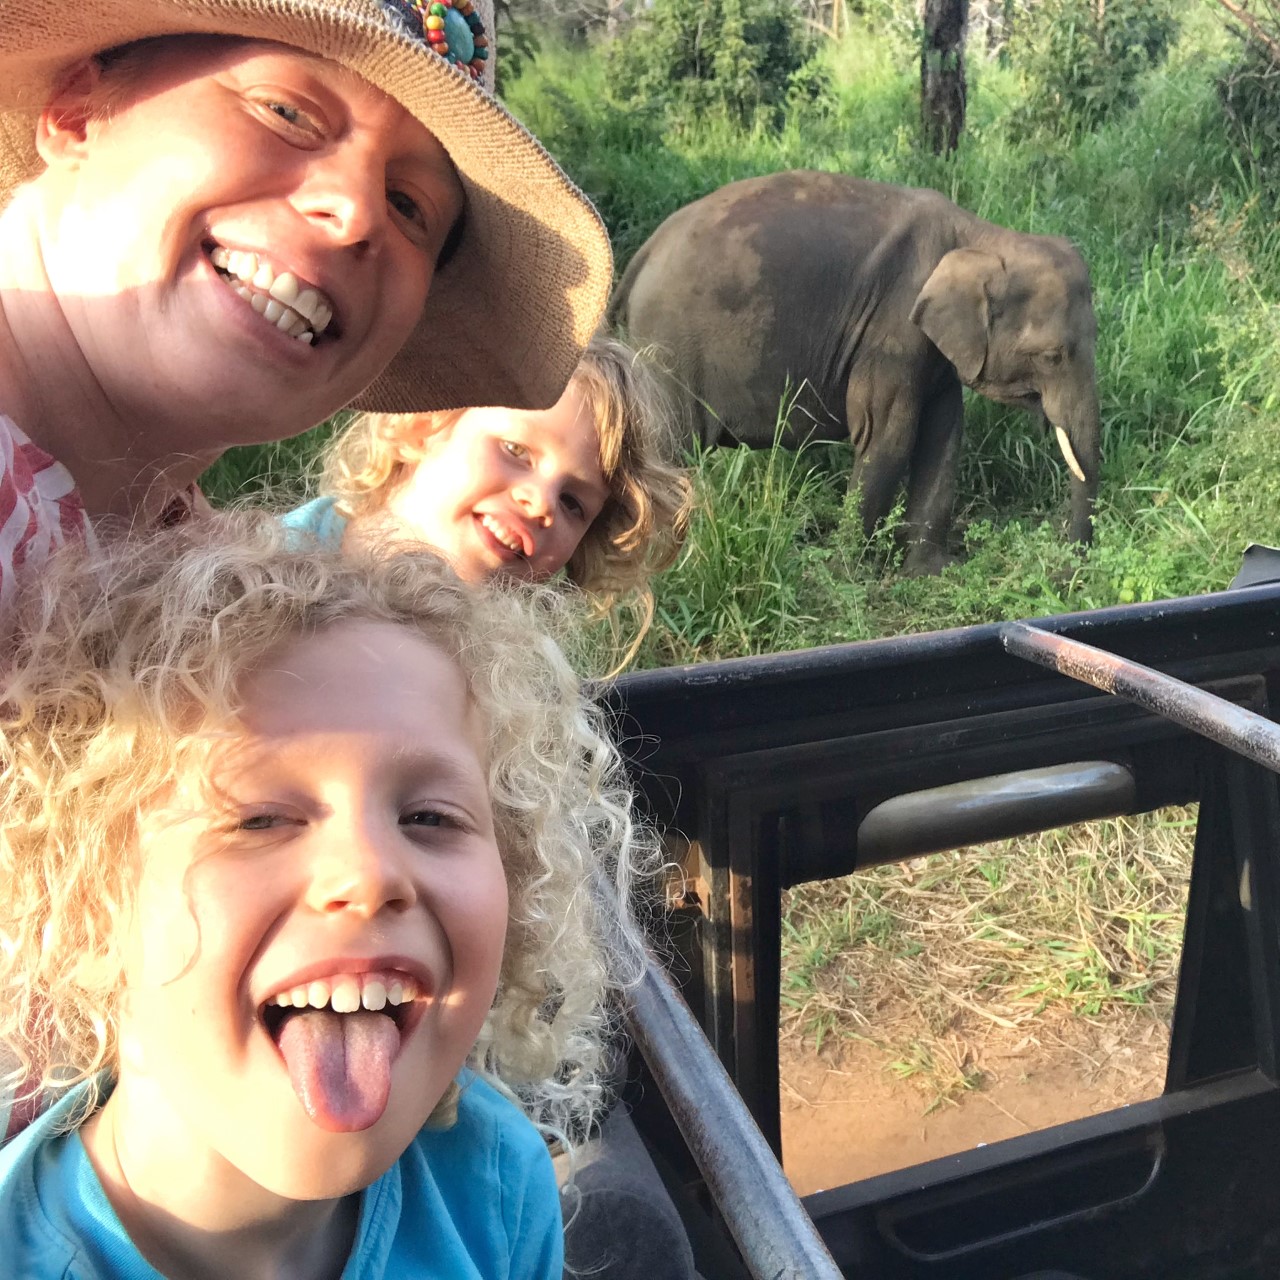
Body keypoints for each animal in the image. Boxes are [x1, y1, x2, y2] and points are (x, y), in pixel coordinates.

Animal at [609, 171, 1100, 576]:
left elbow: (943, 435)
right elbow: (888, 435)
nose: (1068, 571)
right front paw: (850, 574)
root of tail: (641, 256)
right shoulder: (891, 329)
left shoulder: (931, 349)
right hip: (668, 352)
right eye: (1053, 356)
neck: (982, 235)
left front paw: (930, 572)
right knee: (669, 449)